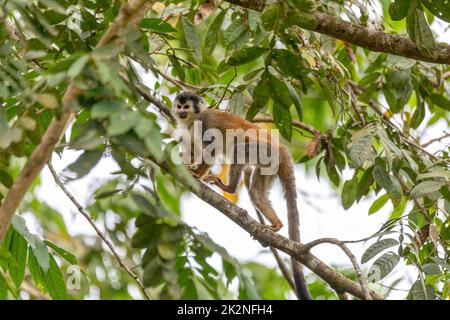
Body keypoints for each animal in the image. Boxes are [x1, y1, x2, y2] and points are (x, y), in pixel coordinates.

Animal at [171, 90, 310, 300]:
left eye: (186, 107)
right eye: (179, 106)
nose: (180, 112)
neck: (193, 119)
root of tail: (282, 149)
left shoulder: (204, 123)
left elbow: (212, 149)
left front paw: (197, 173)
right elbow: (194, 150)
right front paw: (187, 166)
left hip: (264, 151)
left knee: (238, 148)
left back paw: (229, 188)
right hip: (270, 164)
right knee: (256, 193)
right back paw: (276, 225)